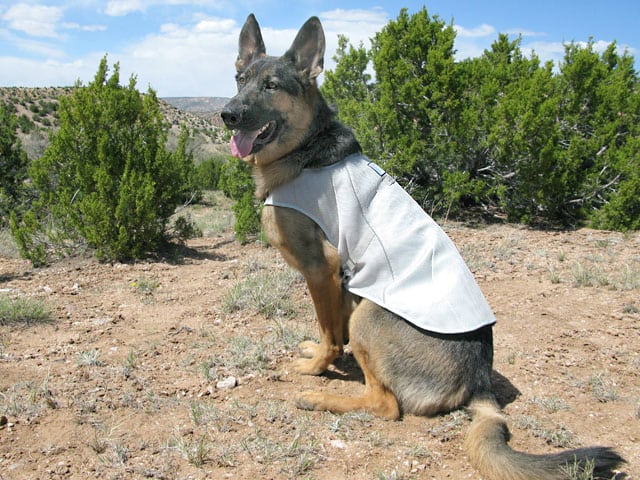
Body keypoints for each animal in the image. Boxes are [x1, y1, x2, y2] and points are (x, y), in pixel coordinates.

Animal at [221, 13, 624, 478]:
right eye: (239, 79)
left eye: (271, 85)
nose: (228, 114)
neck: (304, 150)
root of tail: (480, 380)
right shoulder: (340, 281)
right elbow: (331, 329)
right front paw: (322, 355)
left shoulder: (321, 268)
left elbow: (329, 333)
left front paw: (316, 368)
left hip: (371, 314)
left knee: (386, 405)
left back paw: (322, 399)